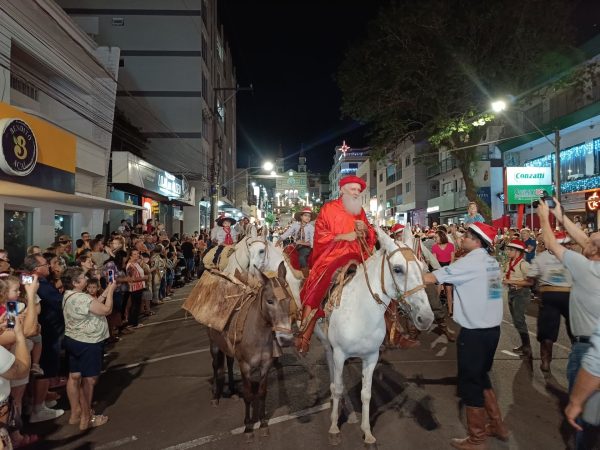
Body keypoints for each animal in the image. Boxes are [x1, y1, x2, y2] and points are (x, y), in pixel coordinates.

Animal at [207, 262, 294, 438]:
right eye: (269, 301)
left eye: (288, 299)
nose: (286, 339)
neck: (257, 333)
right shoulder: (245, 366)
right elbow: (248, 395)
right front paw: (248, 426)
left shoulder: (265, 365)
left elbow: (262, 392)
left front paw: (262, 423)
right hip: (214, 345)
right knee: (215, 366)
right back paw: (215, 396)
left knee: (229, 362)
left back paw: (233, 391)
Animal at [326, 227, 434, 444]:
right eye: (398, 269)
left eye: (422, 266)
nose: (426, 318)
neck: (360, 314)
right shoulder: (339, 354)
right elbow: (339, 388)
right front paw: (334, 426)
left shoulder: (371, 356)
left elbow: (366, 394)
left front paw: (367, 431)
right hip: (328, 348)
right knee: (333, 379)